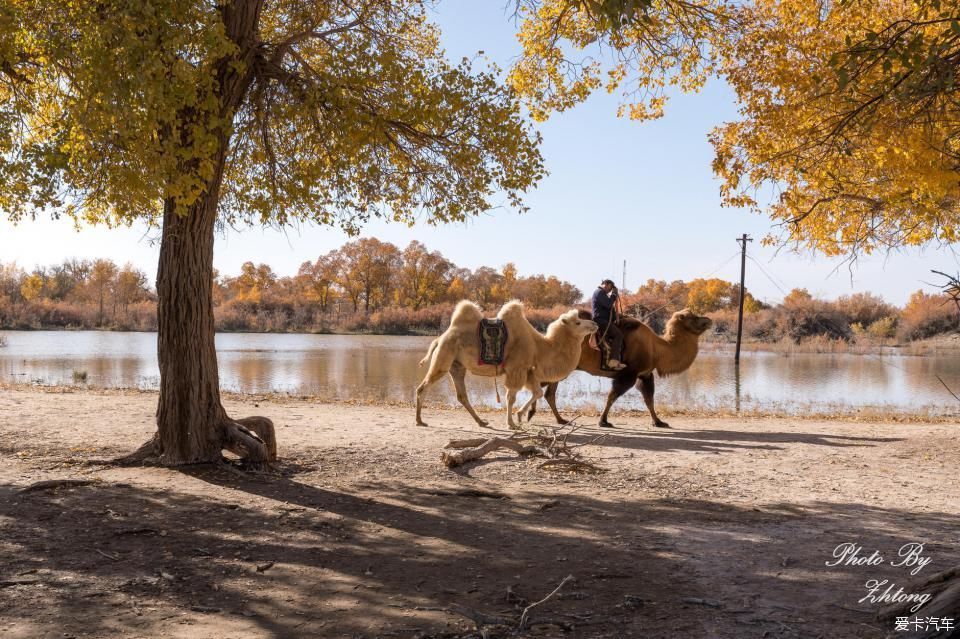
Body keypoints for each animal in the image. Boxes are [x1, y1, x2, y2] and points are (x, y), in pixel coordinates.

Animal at [528, 308, 708, 428]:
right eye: (693, 317)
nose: (709, 320)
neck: (656, 349)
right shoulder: (628, 374)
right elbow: (612, 396)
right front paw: (603, 421)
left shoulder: (645, 374)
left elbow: (649, 399)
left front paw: (658, 422)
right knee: (543, 387)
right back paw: (538, 415)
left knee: (548, 392)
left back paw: (559, 419)